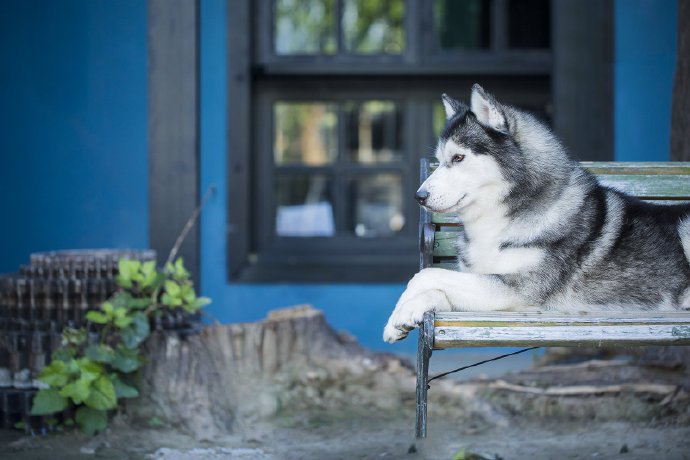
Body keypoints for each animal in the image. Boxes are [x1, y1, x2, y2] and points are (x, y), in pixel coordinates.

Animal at [382, 83, 688, 342]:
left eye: (458, 158)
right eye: (440, 160)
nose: (419, 196)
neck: (499, 221)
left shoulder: (519, 291)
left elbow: (425, 275)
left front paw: (401, 310)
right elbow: (435, 287)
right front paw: (401, 317)